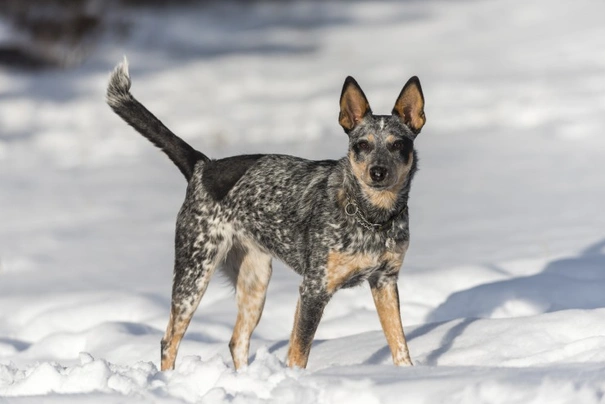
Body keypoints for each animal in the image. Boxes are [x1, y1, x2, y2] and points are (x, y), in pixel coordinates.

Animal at [105, 58, 424, 370]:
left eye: (397, 144)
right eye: (362, 145)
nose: (378, 172)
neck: (373, 217)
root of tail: (202, 166)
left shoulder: (385, 281)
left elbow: (400, 345)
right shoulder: (314, 289)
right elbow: (298, 354)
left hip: (255, 281)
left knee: (237, 342)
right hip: (194, 274)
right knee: (169, 341)